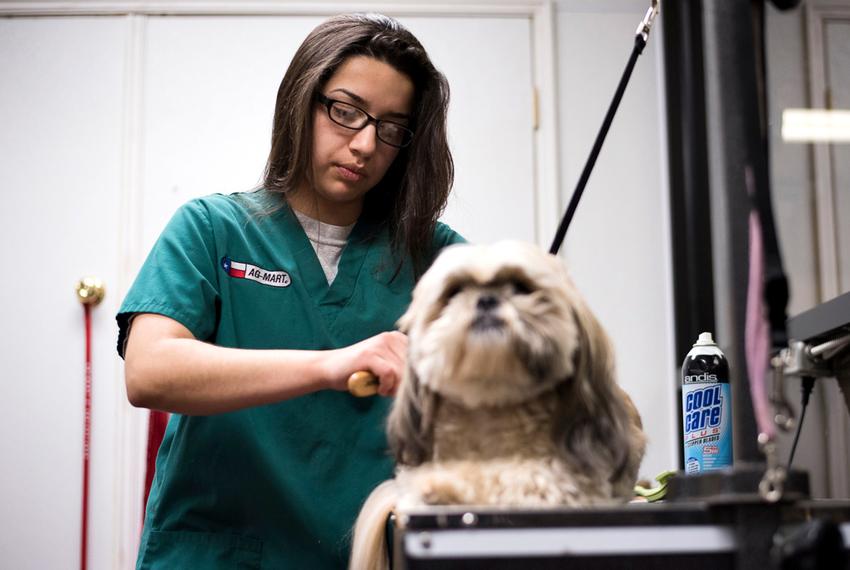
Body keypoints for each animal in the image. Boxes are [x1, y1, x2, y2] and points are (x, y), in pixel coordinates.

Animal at [348, 241, 644, 568]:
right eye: (454, 290)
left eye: (521, 287)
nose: (487, 299)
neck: (491, 405)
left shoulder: (563, 482)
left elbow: (505, 479)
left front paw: (447, 485)